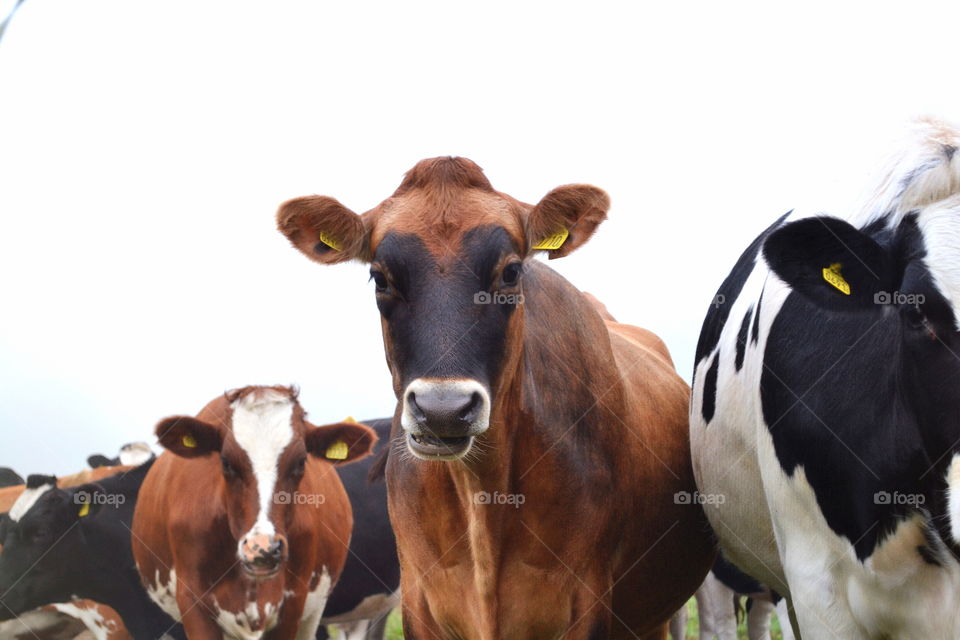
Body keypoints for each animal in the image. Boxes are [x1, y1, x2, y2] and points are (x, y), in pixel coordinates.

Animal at [276, 157, 715, 639]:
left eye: (510, 272)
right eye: (380, 276)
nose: (443, 410)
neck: (482, 500)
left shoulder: (590, 603)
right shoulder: (417, 601)